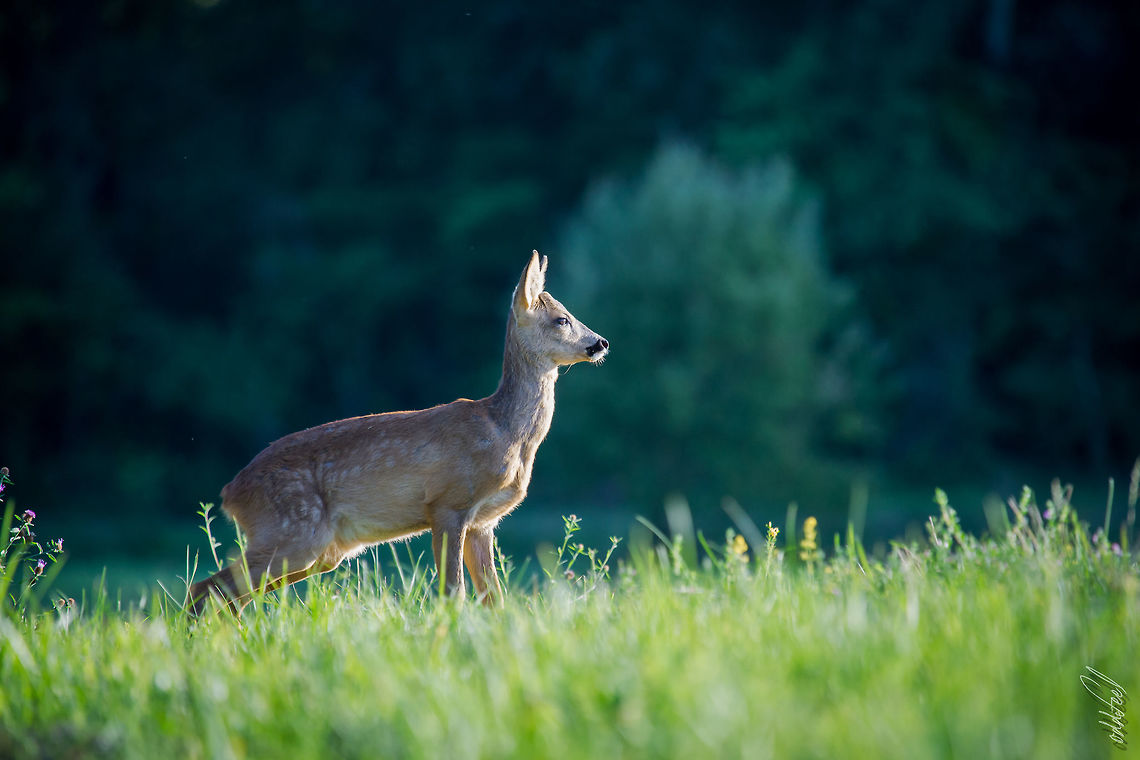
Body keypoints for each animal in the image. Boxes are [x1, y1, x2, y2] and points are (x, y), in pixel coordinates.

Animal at [187, 251, 608, 615]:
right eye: (561, 319)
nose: (601, 342)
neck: (506, 433)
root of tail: (231, 493)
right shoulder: (449, 503)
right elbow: (453, 593)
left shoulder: (483, 523)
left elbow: (495, 598)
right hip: (293, 531)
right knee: (207, 587)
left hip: (320, 551)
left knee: (229, 595)